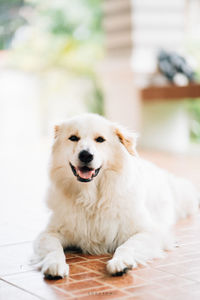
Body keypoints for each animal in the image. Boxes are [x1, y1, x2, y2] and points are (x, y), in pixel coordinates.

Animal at [33, 113, 199, 278]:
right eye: (73, 138)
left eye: (100, 139)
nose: (86, 155)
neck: (91, 200)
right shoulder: (49, 233)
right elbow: (54, 249)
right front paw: (54, 264)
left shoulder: (149, 232)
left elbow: (127, 246)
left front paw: (121, 262)